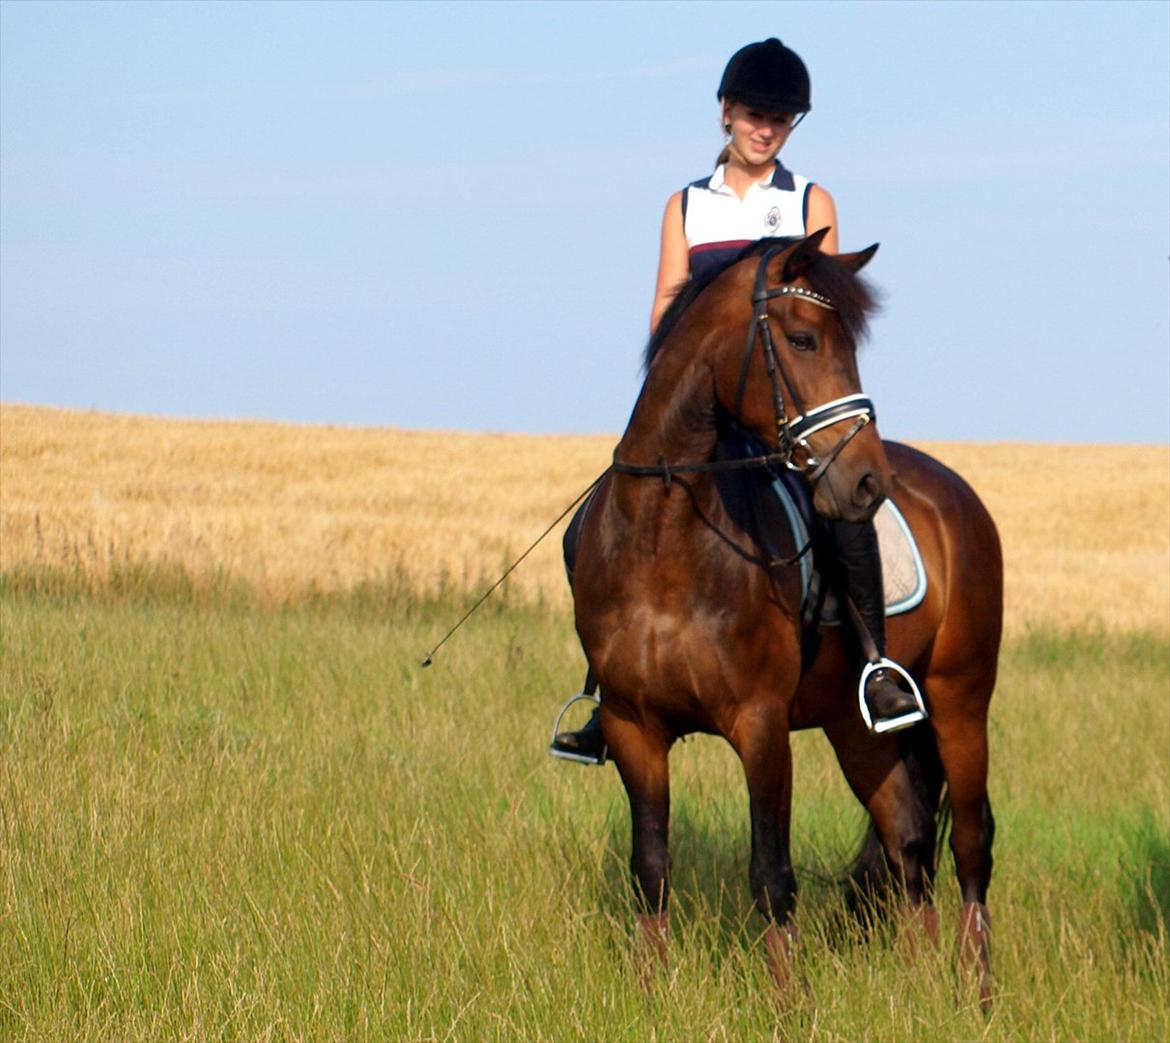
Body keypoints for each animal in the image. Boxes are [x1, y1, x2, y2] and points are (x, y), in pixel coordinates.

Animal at [566, 230, 996, 1002]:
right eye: (802, 339)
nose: (867, 481)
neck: (664, 535)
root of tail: (954, 492)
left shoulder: (761, 725)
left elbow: (772, 876)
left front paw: (787, 1006)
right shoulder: (630, 725)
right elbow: (650, 869)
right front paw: (648, 997)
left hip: (960, 701)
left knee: (971, 848)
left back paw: (977, 996)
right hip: (858, 727)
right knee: (908, 840)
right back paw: (921, 989)